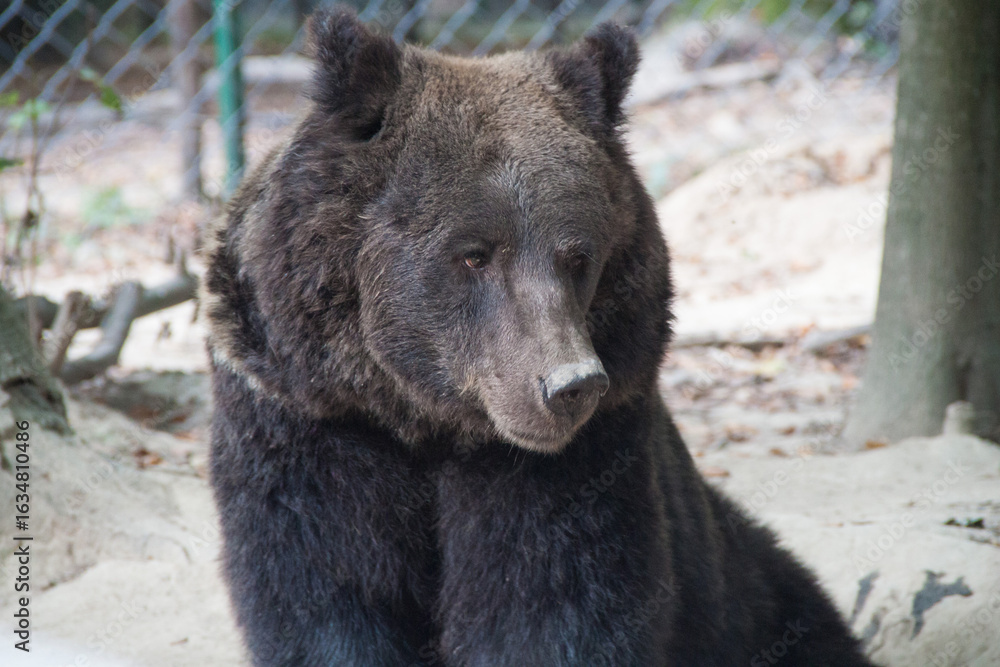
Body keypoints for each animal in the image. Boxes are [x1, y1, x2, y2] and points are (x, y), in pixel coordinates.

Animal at [202, 8, 874, 666]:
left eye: (579, 256)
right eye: (474, 253)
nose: (570, 385)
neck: (425, 420)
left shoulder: (581, 455)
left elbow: (550, 601)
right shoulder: (305, 419)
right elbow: (326, 597)